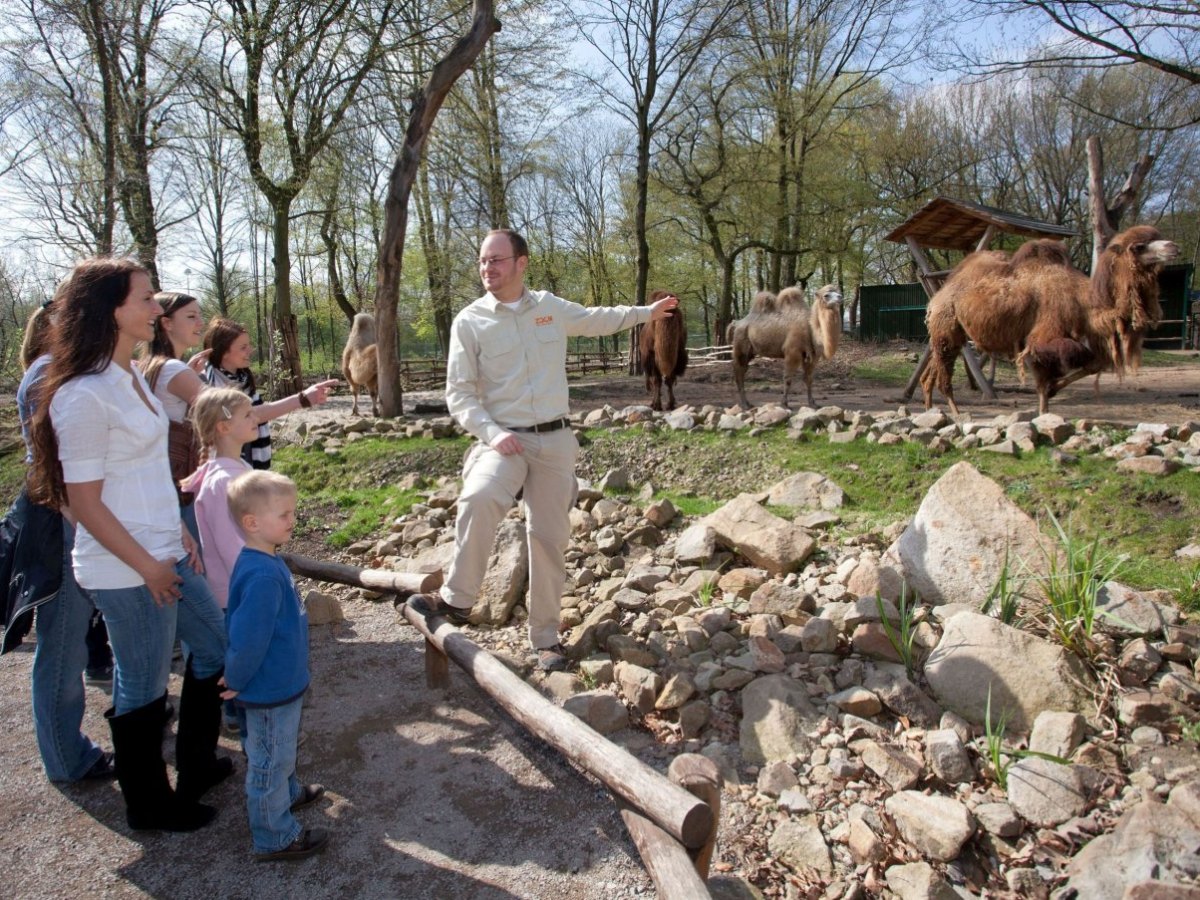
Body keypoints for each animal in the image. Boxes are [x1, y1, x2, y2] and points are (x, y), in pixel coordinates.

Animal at [921, 225, 1176, 415]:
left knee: (932, 370)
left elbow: (1088, 367)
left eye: (1158, 238)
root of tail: (937, 298)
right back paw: (955, 414)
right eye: (1139, 246)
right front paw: (1046, 407)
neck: (1084, 301)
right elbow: (1071, 363)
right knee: (943, 373)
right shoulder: (1043, 336)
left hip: (954, 335)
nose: (1173, 246)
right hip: (946, 324)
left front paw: (1048, 405)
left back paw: (933, 409)